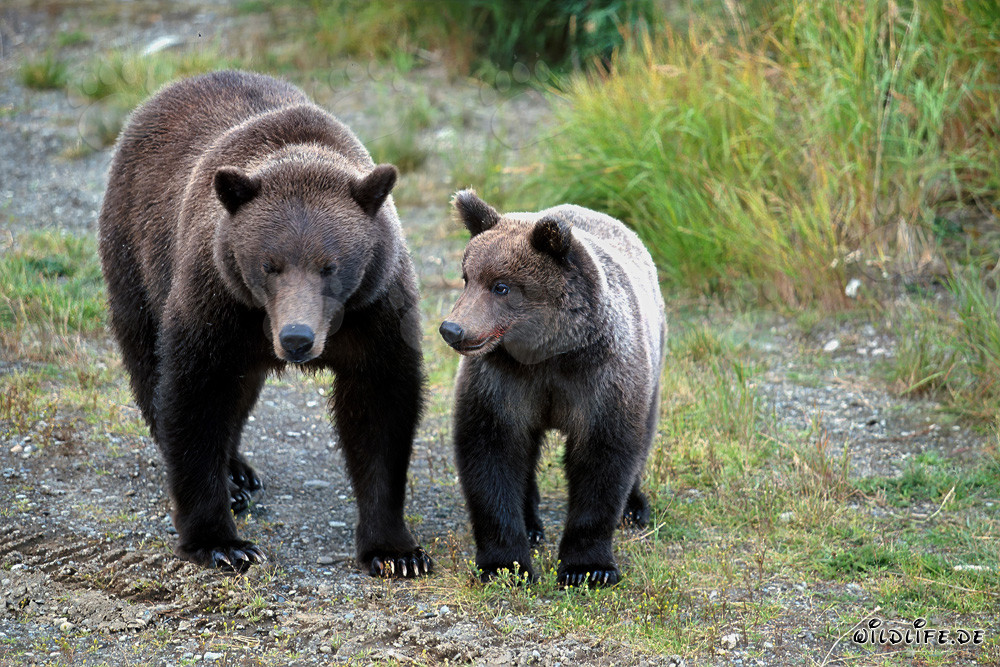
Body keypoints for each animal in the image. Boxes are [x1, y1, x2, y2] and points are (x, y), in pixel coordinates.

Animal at [98, 70, 430, 577]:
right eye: (269, 265)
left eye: (330, 266)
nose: (297, 338)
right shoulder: (216, 301)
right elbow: (194, 395)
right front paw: (223, 542)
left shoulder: (376, 310)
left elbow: (381, 412)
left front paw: (397, 552)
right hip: (135, 252)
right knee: (148, 362)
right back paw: (233, 480)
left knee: (241, 391)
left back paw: (239, 469)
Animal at [439, 190, 666, 587]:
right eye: (467, 277)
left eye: (501, 286)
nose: (452, 329)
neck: (548, 355)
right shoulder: (501, 382)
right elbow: (491, 452)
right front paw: (504, 564)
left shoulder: (601, 379)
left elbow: (603, 458)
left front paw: (588, 568)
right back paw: (531, 524)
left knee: (643, 435)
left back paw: (634, 507)